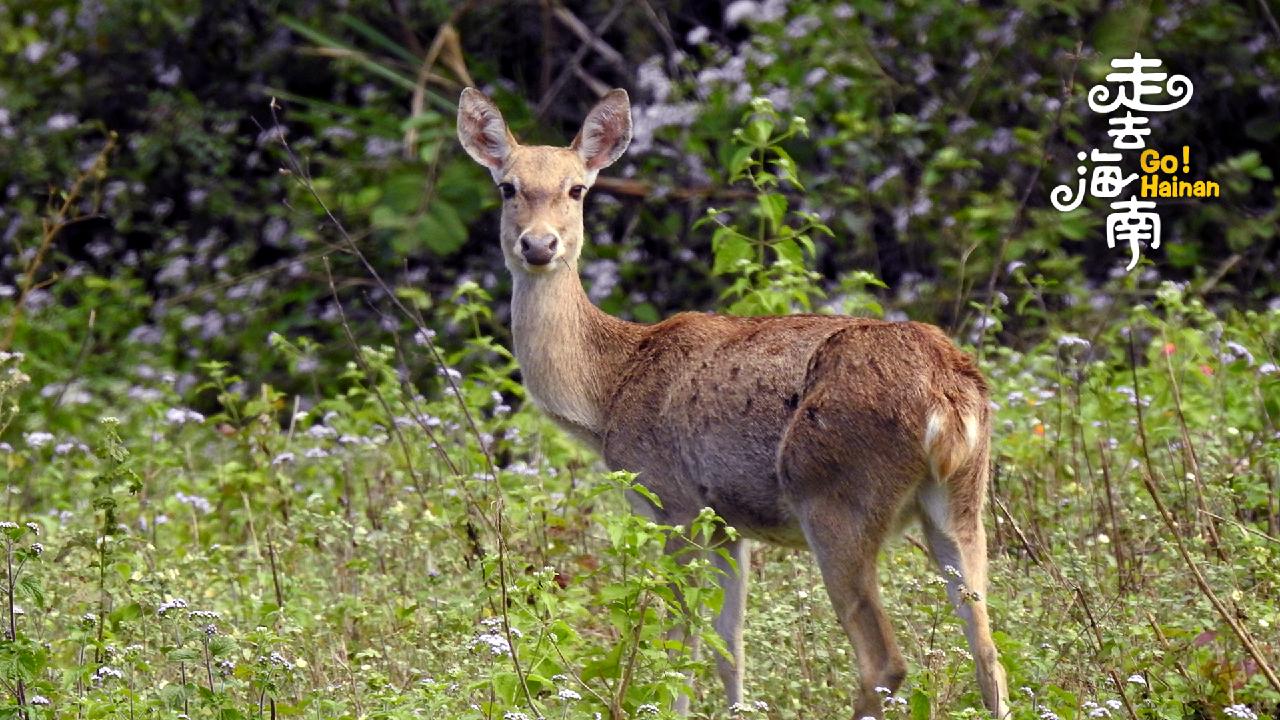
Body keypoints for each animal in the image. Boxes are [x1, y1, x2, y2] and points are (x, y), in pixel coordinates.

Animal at [456, 86, 1010, 720]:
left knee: (885, 661)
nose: (539, 245)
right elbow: (729, 647)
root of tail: (950, 398)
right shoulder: (725, 520)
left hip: (834, 497)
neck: (608, 391)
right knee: (989, 652)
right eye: (508, 186)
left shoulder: (670, 499)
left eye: (577, 189)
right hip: (961, 500)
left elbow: (681, 644)